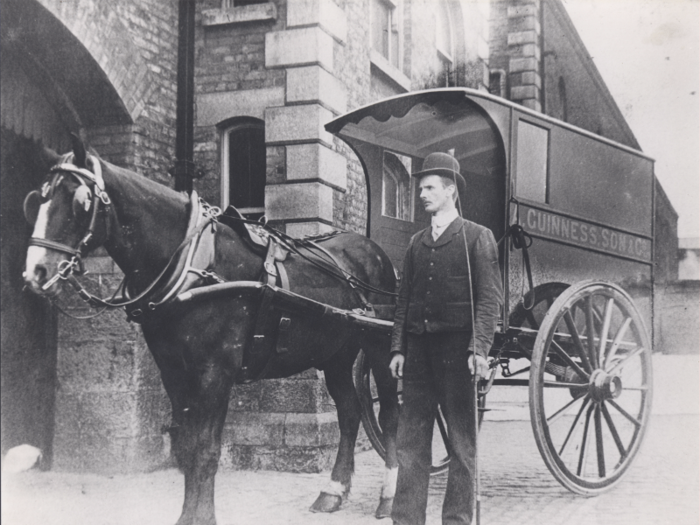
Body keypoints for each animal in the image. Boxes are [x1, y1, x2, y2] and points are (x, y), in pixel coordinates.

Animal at [21, 137, 400, 520]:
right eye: (38, 199)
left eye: (80, 200)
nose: (35, 272)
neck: (193, 262)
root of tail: (372, 250)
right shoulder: (173, 370)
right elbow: (188, 446)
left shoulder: (216, 369)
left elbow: (206, 448)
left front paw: (200, 516)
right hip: (336, 353)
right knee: (350, 413)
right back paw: (333, 490)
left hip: (381, 346)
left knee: (390, 413)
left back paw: (389, 495)